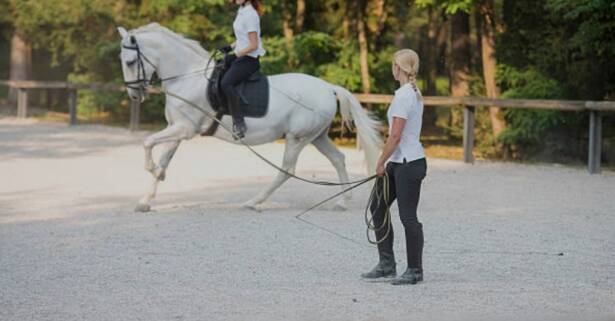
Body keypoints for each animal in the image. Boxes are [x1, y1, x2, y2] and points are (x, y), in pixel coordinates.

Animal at [118, 23, 382, 211]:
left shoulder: (185, 129)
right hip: (317, 136)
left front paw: (152, 170)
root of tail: (328, 87)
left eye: (130, 62)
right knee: (338, 159)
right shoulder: (177, 129)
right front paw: (146, 199)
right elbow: (163, 159)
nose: (134, 94)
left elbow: (146, 143)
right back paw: (343, 201)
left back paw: (254, 202)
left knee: (287, 169)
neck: (186, 77)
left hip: (297, 138)